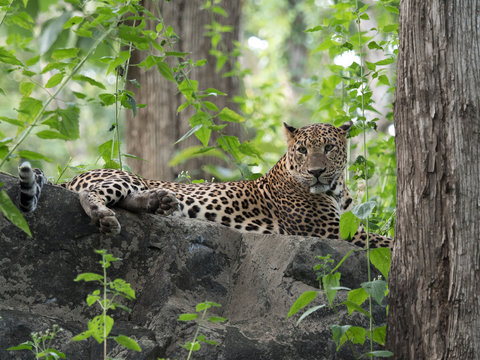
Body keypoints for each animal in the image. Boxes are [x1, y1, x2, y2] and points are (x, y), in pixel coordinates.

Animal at [17, 122, 394, 249]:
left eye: (329, 148)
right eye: (302, 150)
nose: (316, 172)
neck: (336, 189)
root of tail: (73, 175)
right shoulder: (332, 231)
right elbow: (386, 240)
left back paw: (160, 203)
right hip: (123, 176)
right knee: (91, 195)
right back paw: (104, 216)